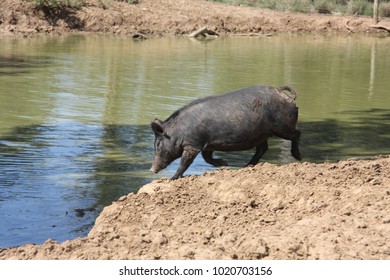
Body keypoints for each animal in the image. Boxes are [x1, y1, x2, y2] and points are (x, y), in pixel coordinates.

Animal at [150, 85, 302, 179]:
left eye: (158, 144)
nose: (152, 170)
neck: (178, 132)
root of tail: (287, 97)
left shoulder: (193, 145)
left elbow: (184, 163)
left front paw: (172, 178)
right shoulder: (208, 145)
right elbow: (207, 158)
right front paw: (225, 164)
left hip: (282, 127)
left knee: (297, 133)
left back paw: (298, 157)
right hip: (261, 134)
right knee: (263, 148)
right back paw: (246, 166)